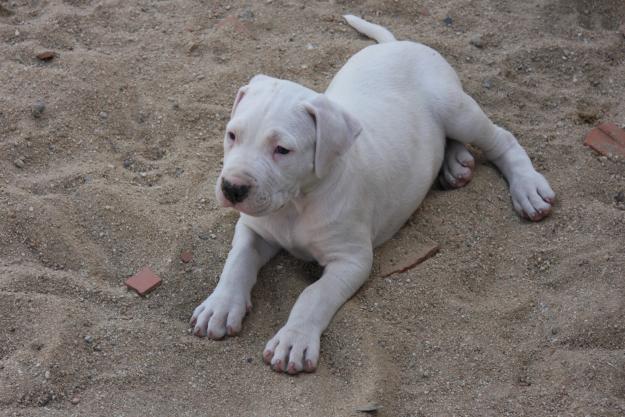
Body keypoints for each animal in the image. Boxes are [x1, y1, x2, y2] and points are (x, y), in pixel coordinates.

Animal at [189, 15, 552, 374]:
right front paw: (220, 306)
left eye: (282, 150)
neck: (296, 204)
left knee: (501, 138)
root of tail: (398, 44)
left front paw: (293, 339)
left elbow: (314, 294)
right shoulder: (253, 228)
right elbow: (237, 261)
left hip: (456, 109)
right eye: (232, 135)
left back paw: (527, 188)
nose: (232, 188)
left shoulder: (352, 259)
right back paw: (455, 163)